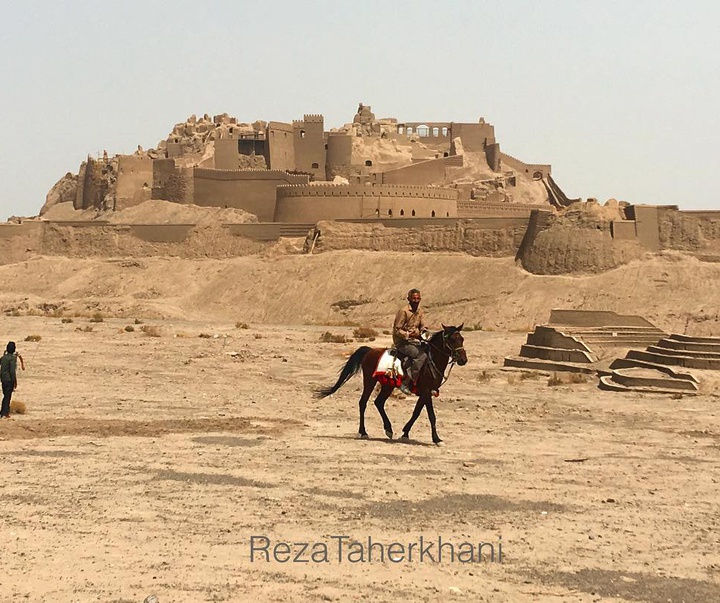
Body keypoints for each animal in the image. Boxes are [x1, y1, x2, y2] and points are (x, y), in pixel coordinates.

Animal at [316, 326, 466, 448]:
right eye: (452, 339)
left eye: (462, 339)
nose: (463, 360)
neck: (431, 361)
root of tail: (370, 351)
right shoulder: (426, 391)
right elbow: (431, 415)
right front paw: (437, 439)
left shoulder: (425, 393)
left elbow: (416, 412)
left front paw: (405, 433)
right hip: (370, 382)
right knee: (363, 403)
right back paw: (363, 432)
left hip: (387, 385)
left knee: (379, 402)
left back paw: (388, 429)